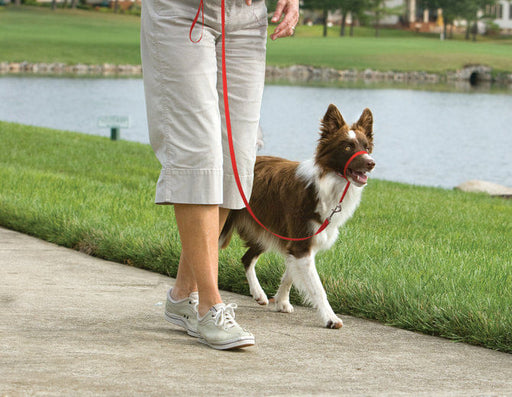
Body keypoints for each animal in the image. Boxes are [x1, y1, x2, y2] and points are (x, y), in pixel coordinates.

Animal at [220, 103, 376, 328]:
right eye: (347, 147)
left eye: (366, 147)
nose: (371, 163)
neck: (327, 184)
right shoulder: (301, 243)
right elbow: (317, 288)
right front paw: (330, 318)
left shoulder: (298, 241)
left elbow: (289, 275)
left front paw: (282, 302)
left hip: (265, 228)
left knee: (246, 258)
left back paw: (258, 294)